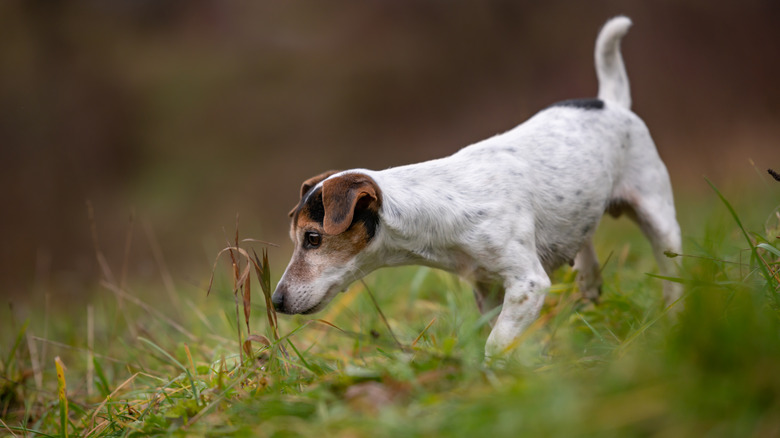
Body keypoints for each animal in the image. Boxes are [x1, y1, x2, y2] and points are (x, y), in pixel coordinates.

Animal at [272, 17, 684, 360]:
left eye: (312, 239)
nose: (275, 301)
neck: (438, 206)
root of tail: (610, 103)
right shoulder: (487, 288)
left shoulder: (528, 283)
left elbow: (496, 344)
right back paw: (589, 279)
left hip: (658, 217)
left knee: (671, 275)